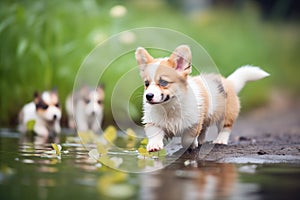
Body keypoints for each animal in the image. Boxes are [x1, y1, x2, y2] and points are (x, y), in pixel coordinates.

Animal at [136, 45, 270, 152]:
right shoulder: (153, 122)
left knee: (225, 127)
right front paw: (154, 145)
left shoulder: (194, 122)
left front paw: (192, 145)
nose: (148, 96)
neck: (169, 107)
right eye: (146, 84)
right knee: (204, 128)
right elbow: (154, 134)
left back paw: (220, 140)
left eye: (163, 82)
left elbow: (187, 138)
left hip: (226, 114)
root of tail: (229, 82)